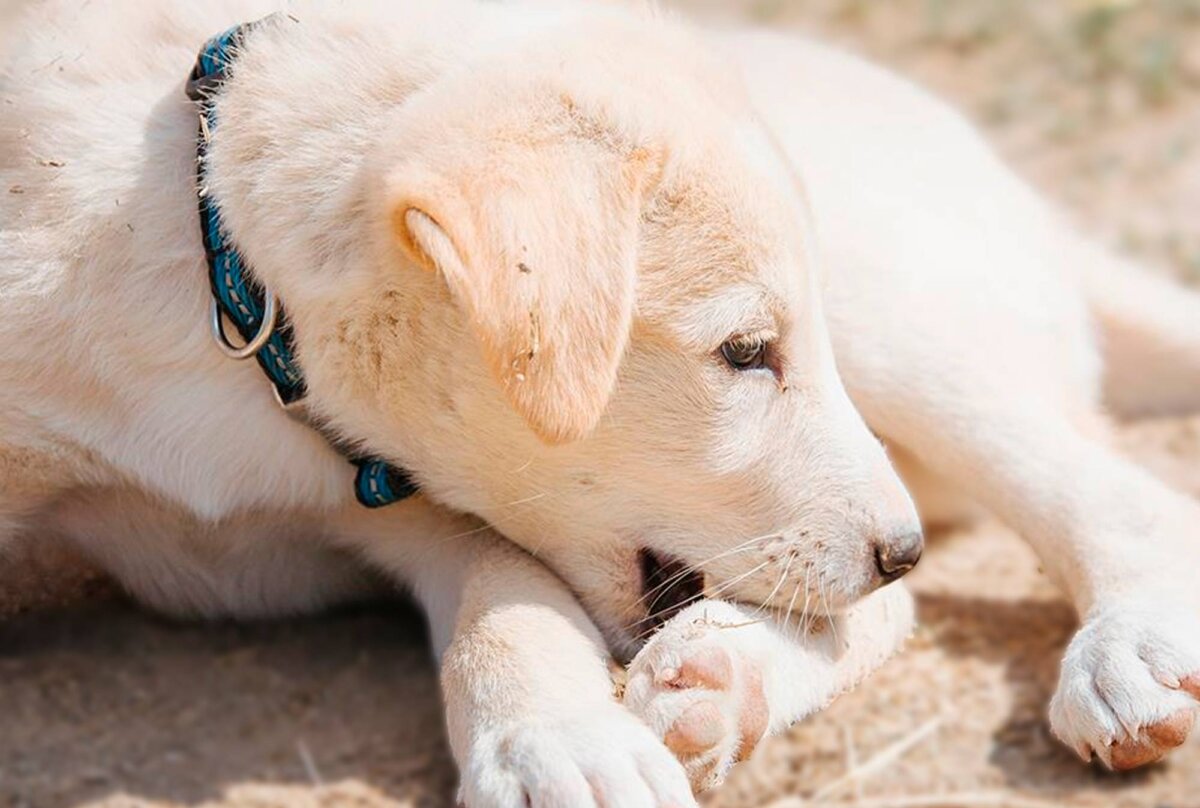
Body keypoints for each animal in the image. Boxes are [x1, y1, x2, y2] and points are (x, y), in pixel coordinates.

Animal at [2, 0, 1200, 801]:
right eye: (745, 351)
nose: (898, 547)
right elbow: (517, 598)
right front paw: (560, 739)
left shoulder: (407, 495)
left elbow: (510, 609)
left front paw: (552, 743)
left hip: (890, 307)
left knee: (1102, 502)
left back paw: (1117, 649)